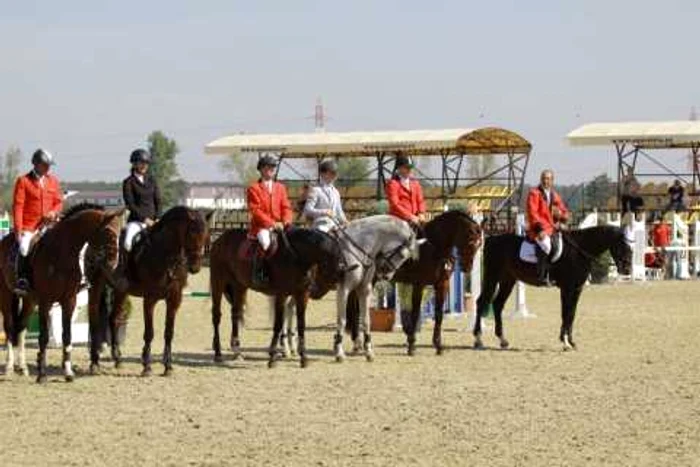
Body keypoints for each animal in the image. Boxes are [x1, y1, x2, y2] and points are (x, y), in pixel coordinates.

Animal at [0, 205, 122, 384]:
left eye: (120, 232)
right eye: (107, 232)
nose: (113, 263)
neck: (61, 253)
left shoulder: (69, 301)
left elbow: (67, 335)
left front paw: (68, 372)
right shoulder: (46, 301)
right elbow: (43, 337)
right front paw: (42, 374)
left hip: (30, 300)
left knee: (21, 327)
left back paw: (23, 368)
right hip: (7, 296)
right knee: (9, 328)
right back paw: (9, 367)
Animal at [89, 207, 212, 376]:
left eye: (206, 234)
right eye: (192, 231)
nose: (195, 267)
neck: (166, 256)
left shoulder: (174, 299)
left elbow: (169, 332)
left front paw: (168, 366)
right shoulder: (150, 299)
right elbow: (149, 333)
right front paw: (146, 365)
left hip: (121, 290)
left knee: (114, 318)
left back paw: (118, 358)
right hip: (96, 286)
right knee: (94, 320)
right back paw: (94, 362)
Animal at [209, 228, 344, 370]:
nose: (317, 292)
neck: (297, 256)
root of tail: (219, 239)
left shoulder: (302, 294)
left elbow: (301, 324)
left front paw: (303, 357)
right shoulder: (281, 294)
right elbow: (278, 324)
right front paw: (272, 357)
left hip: (239, 285)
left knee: (235, 314)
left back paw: (237, 352)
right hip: (218, 281)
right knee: (216, 316)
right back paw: (218, 353)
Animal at [330, 218, 418, 364]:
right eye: (402, 254)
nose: (386, 276)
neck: (355, 249)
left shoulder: (363, 290)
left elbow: (366, 320)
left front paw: (368, 352)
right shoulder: (344, 289)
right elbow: (341, 320)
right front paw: (339, 353)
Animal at [474, 226, 632, 352]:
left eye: (630, 247)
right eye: (622, 245)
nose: (627, 269)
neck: (579, 250)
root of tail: (491, 239)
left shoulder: (577, 289)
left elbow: (572, 314)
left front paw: (571, 342)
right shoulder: (567, 288)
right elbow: (565, 313)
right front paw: (565, 342)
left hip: (508, 280)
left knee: (497, 304)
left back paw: (503, 340)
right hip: (492, 277)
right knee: (481, 302)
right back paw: (478, 339)